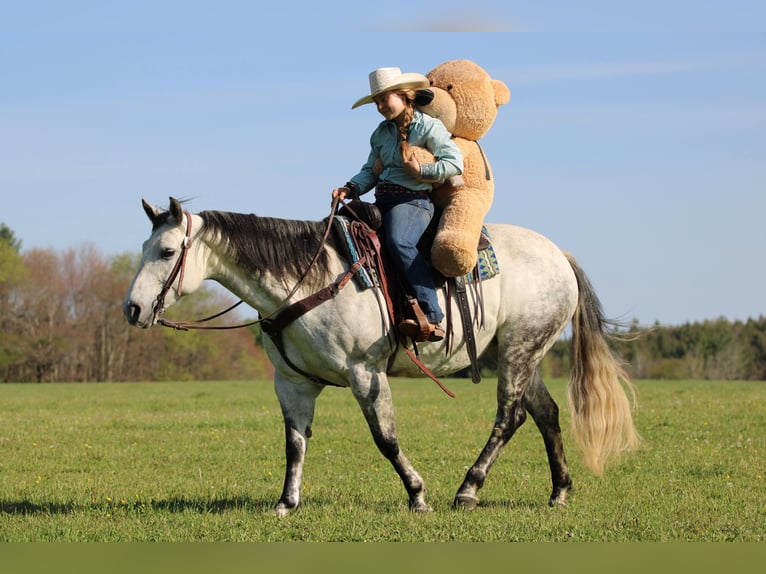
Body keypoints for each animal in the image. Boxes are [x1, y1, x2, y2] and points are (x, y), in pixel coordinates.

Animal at [123, 196, 640, 516]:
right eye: (144, 246)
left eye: (167, 251)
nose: (133, 309)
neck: (308, 280)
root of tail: (559, 255)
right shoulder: (291, 383)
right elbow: (295, 444)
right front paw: (286, 504)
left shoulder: (365, 373)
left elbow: (386, 439)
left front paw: (418, 495)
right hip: (523, 354)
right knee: (546, 415)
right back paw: (559, 492)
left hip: (519, 350)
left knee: (509, 417)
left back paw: (468, 489)